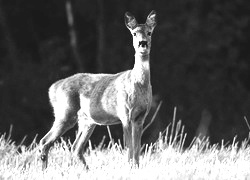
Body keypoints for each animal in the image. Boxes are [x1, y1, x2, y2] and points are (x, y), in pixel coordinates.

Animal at [38, 9, 156, 169]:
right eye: (134, 33)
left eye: (149, 32)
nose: (142, 43)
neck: (138, 84)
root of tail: (53, 88)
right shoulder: (124, 114)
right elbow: (129, 147)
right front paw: (129, 168)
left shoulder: (141, 117)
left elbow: (137, 149)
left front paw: (136, 168)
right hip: (65, 113)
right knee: (45, 142)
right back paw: (44, 170)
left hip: (87, 121)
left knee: (75, 147)